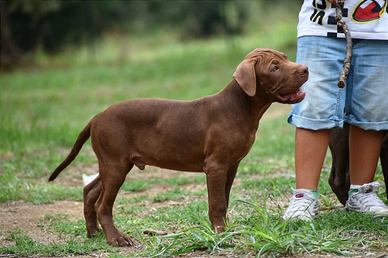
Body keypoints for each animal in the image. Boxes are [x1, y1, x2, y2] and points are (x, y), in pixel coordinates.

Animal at [49, 47, 310, 247]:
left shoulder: (231, 166)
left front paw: (226, 228)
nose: (305, 69)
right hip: (115, 164)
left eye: (286, 58)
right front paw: (220, 232)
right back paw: (116, 238)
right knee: (103, 204)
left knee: (90, 191)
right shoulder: (215, 166)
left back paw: (93, 232)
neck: (242, 107)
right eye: (274, 68)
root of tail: (96, 117)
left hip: (113, 163)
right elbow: (217, 203)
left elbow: (224, 200)